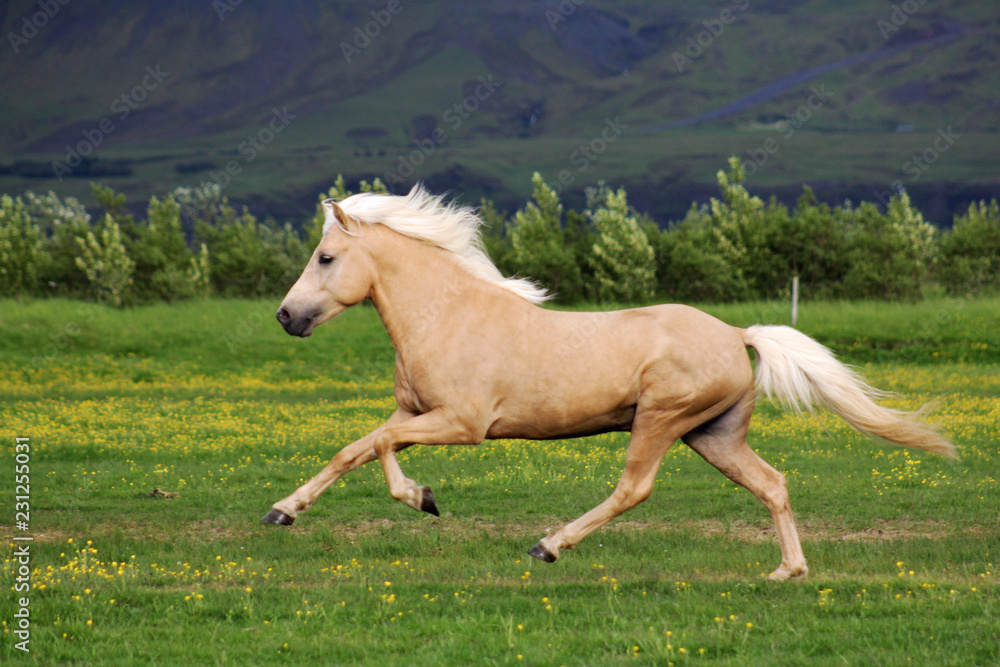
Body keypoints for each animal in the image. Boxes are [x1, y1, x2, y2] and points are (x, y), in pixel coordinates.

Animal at [264, 185, 955, 581]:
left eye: (326, 258)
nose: (286, 317)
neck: (448, 316)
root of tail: (737, 334)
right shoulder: (413, 414)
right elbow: (351, 449)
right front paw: (283, 512)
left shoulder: (462, 424)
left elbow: (379, 450)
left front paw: (422, 499)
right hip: (714, 435)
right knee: (772, 483)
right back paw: (787, 572)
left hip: (662, 421)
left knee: (634, 489)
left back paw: (548, 546)